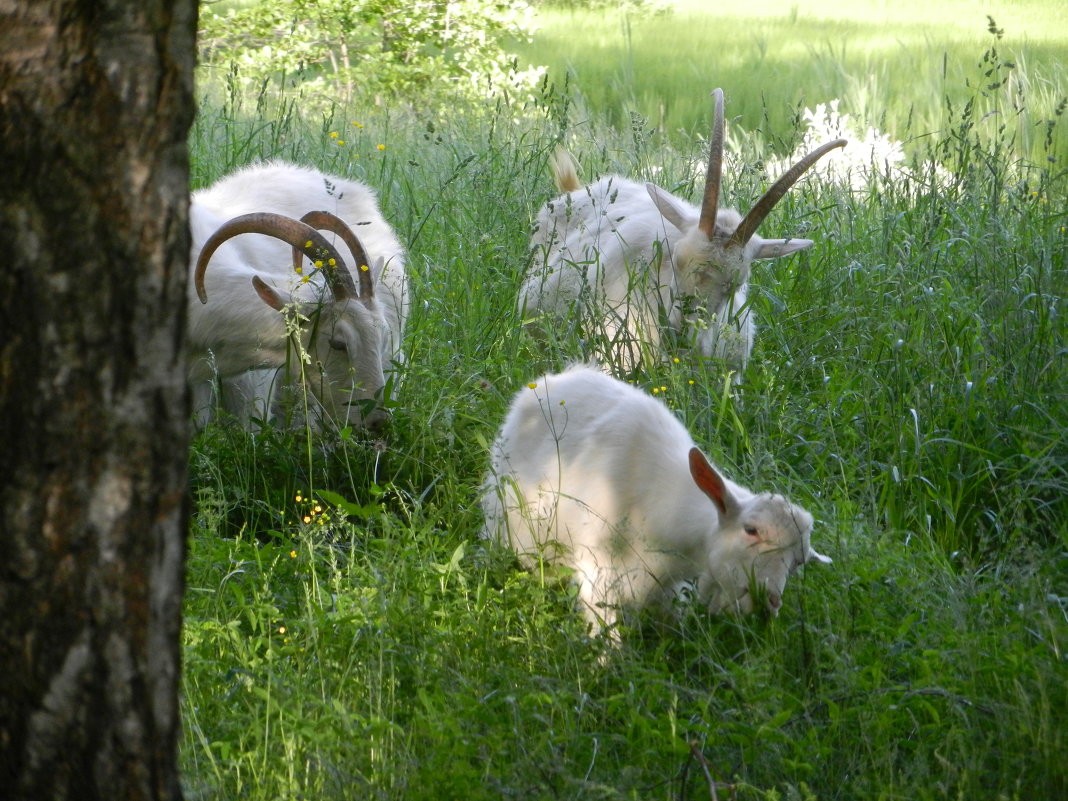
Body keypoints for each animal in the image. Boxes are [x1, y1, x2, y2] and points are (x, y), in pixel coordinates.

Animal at [480, 365, 828, 640]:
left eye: (799, 561)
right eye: (751, 530)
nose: (769, 602)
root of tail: (551, 379)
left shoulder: (668, 588)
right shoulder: (596, 569)